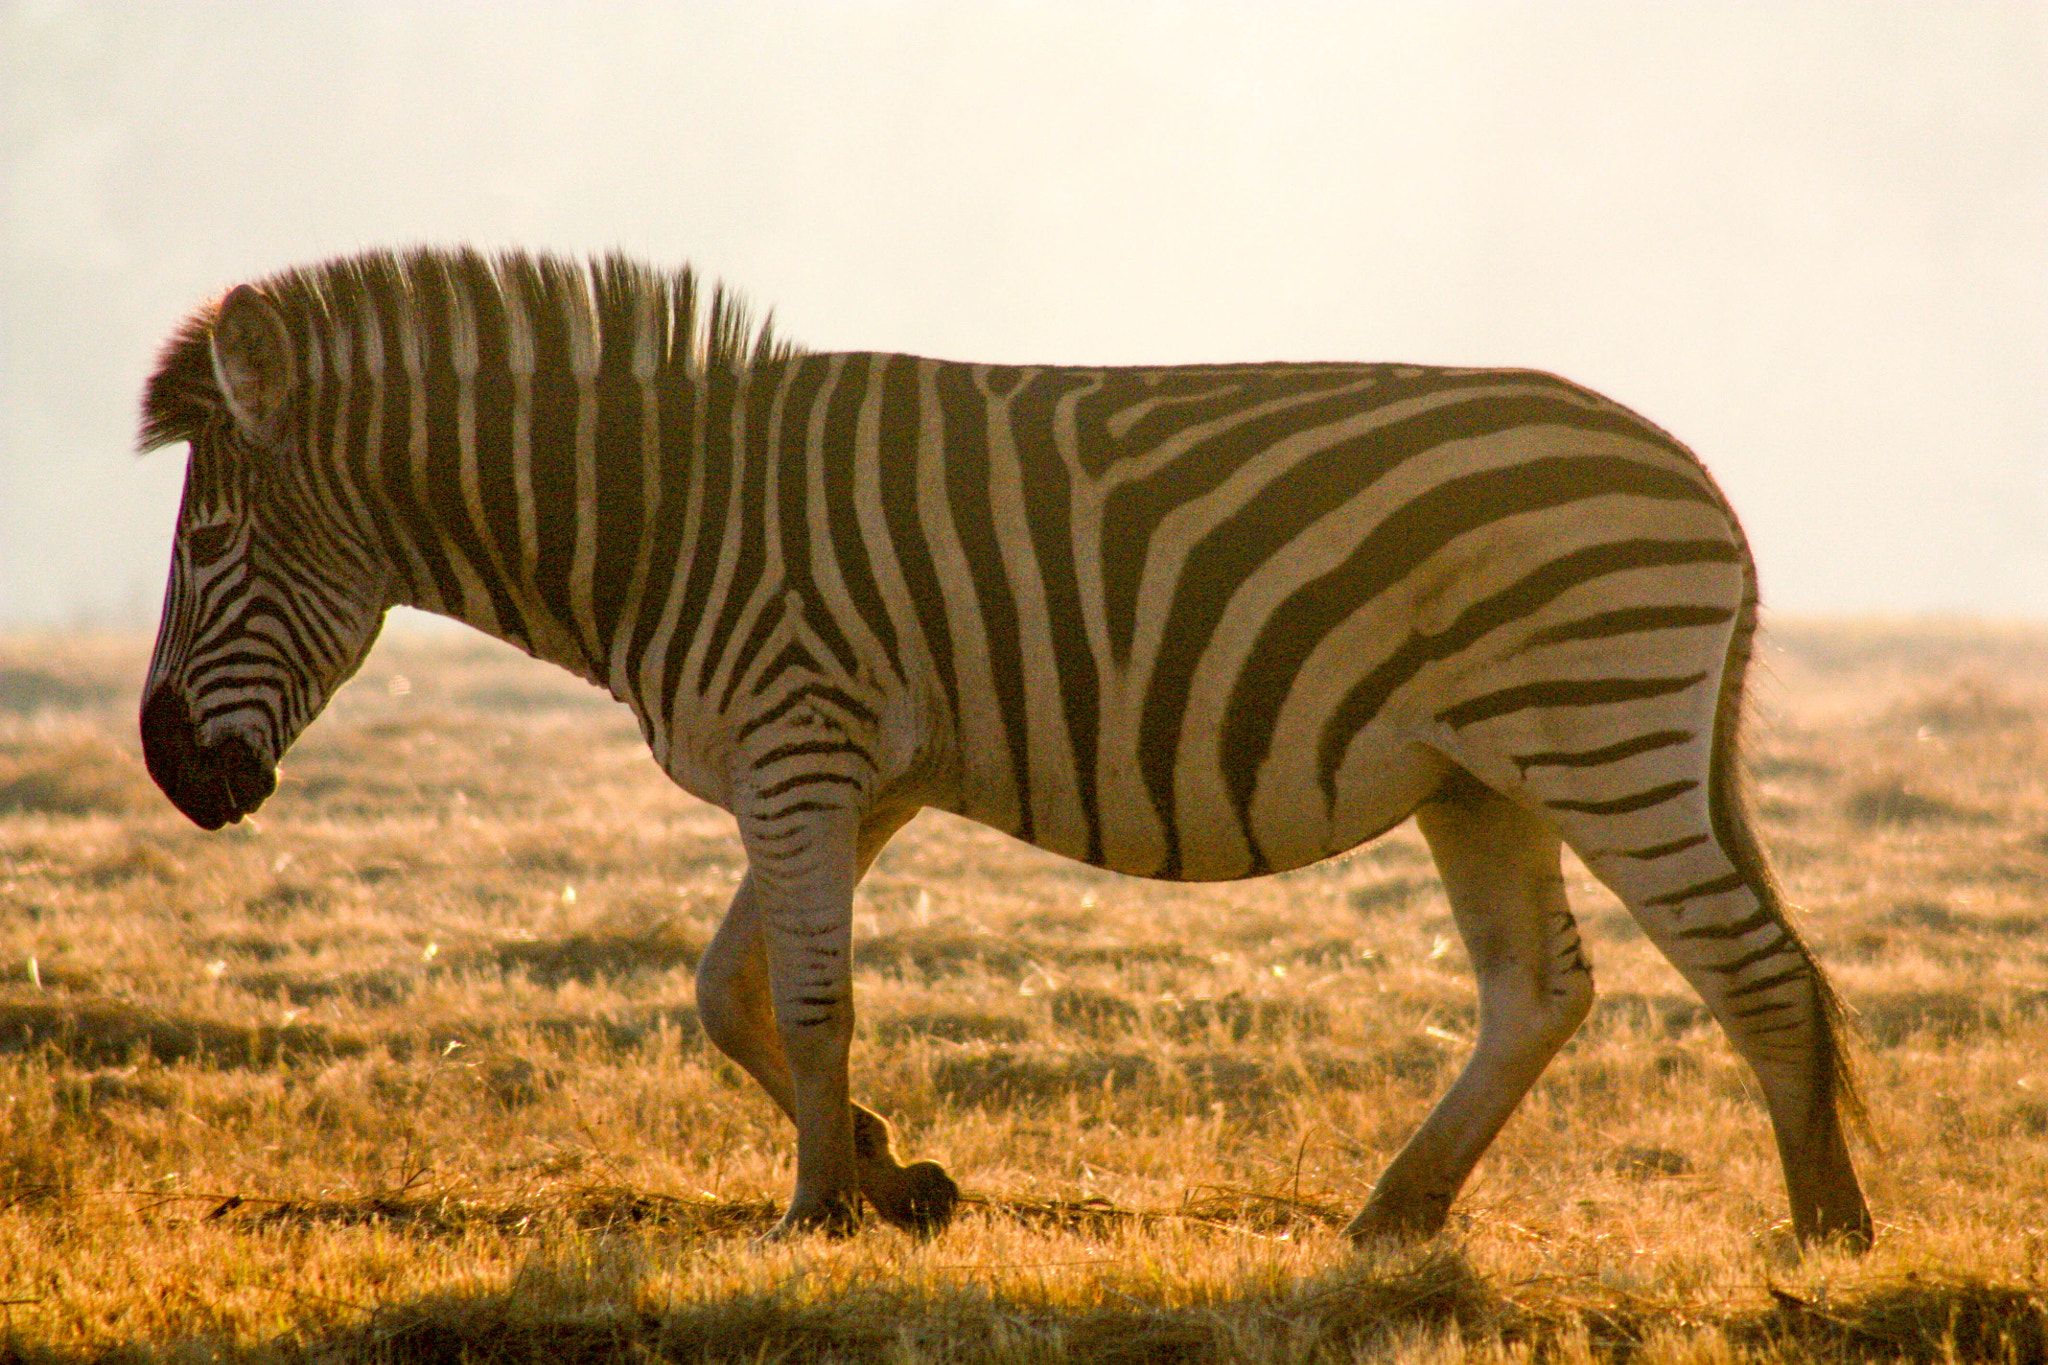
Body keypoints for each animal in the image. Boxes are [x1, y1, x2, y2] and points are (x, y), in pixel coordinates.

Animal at [138, 247, 1871, 1249]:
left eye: (211, 544)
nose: (167, 770)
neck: (660, 516)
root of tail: (1699, 475)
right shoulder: (851, 776)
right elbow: (728, 989)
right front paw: (895, 1176)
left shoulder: (802, 745)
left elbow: (812, 996)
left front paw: (811, 1217)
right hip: (1481, 776)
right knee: (1541, 989)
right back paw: (1397, 1210)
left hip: (1598, 736)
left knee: (1756, 971)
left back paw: (1822, 1232)